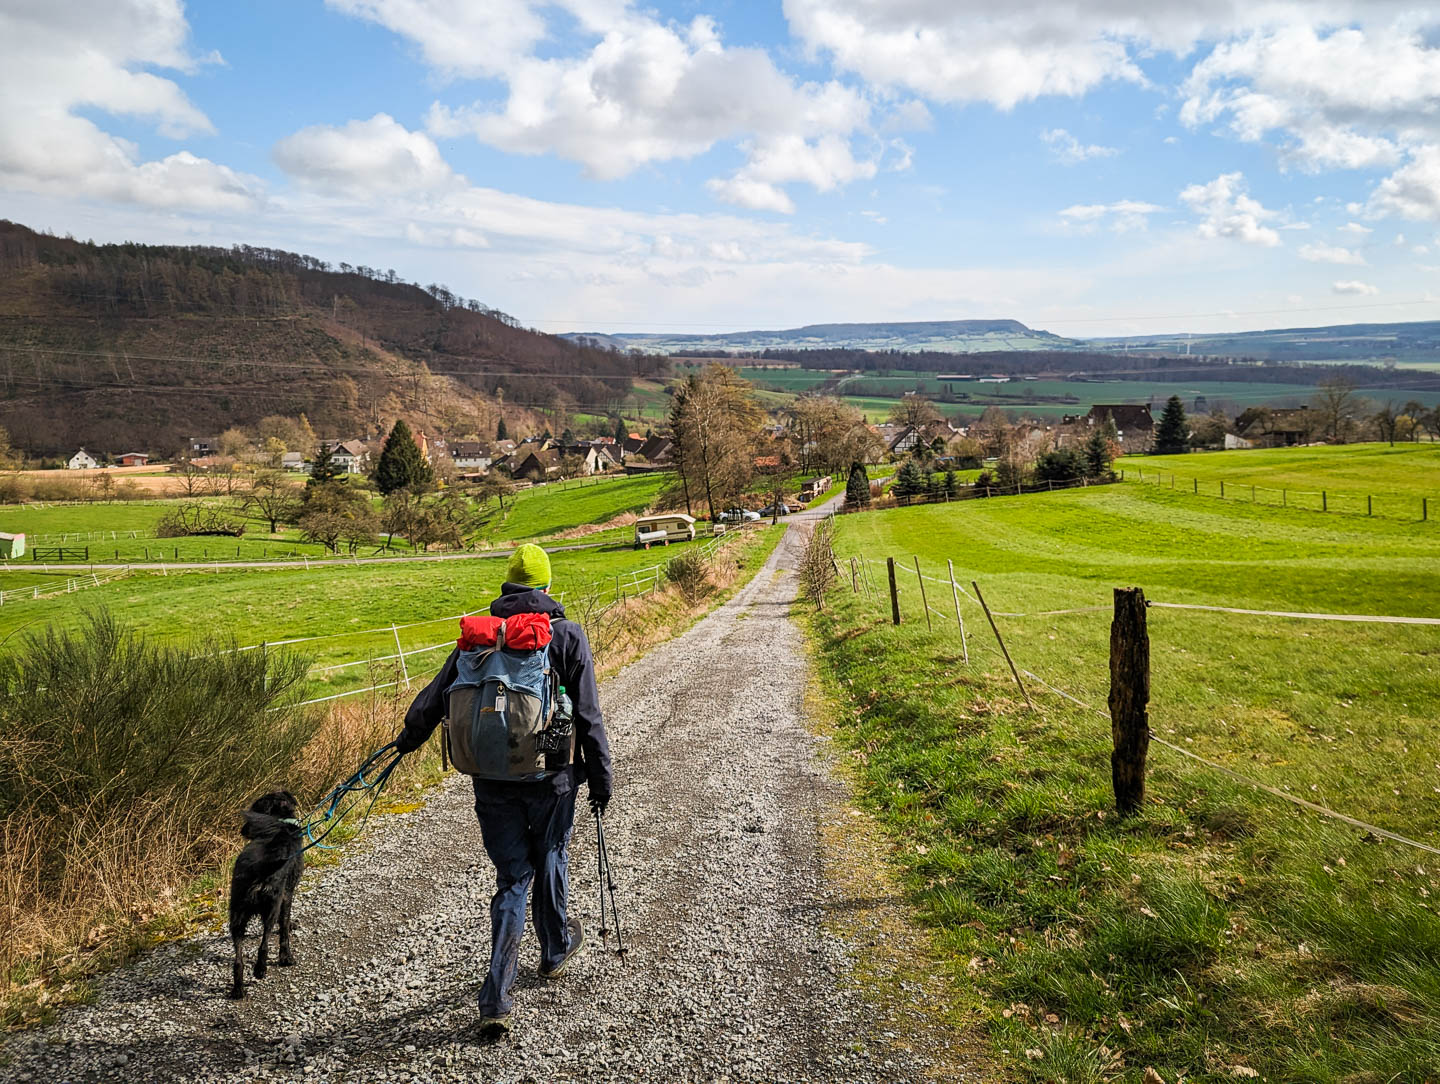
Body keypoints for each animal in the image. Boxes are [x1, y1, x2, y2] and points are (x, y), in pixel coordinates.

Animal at [227, 788, 303, 996]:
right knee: (264, 944)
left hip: (237, 915)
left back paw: (238, 989)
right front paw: (286, 957)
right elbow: (284, 927)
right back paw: (261, 970)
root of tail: (258, 869)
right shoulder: (287, 894)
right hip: (270, 907)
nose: (242, 831)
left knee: (238, 960)